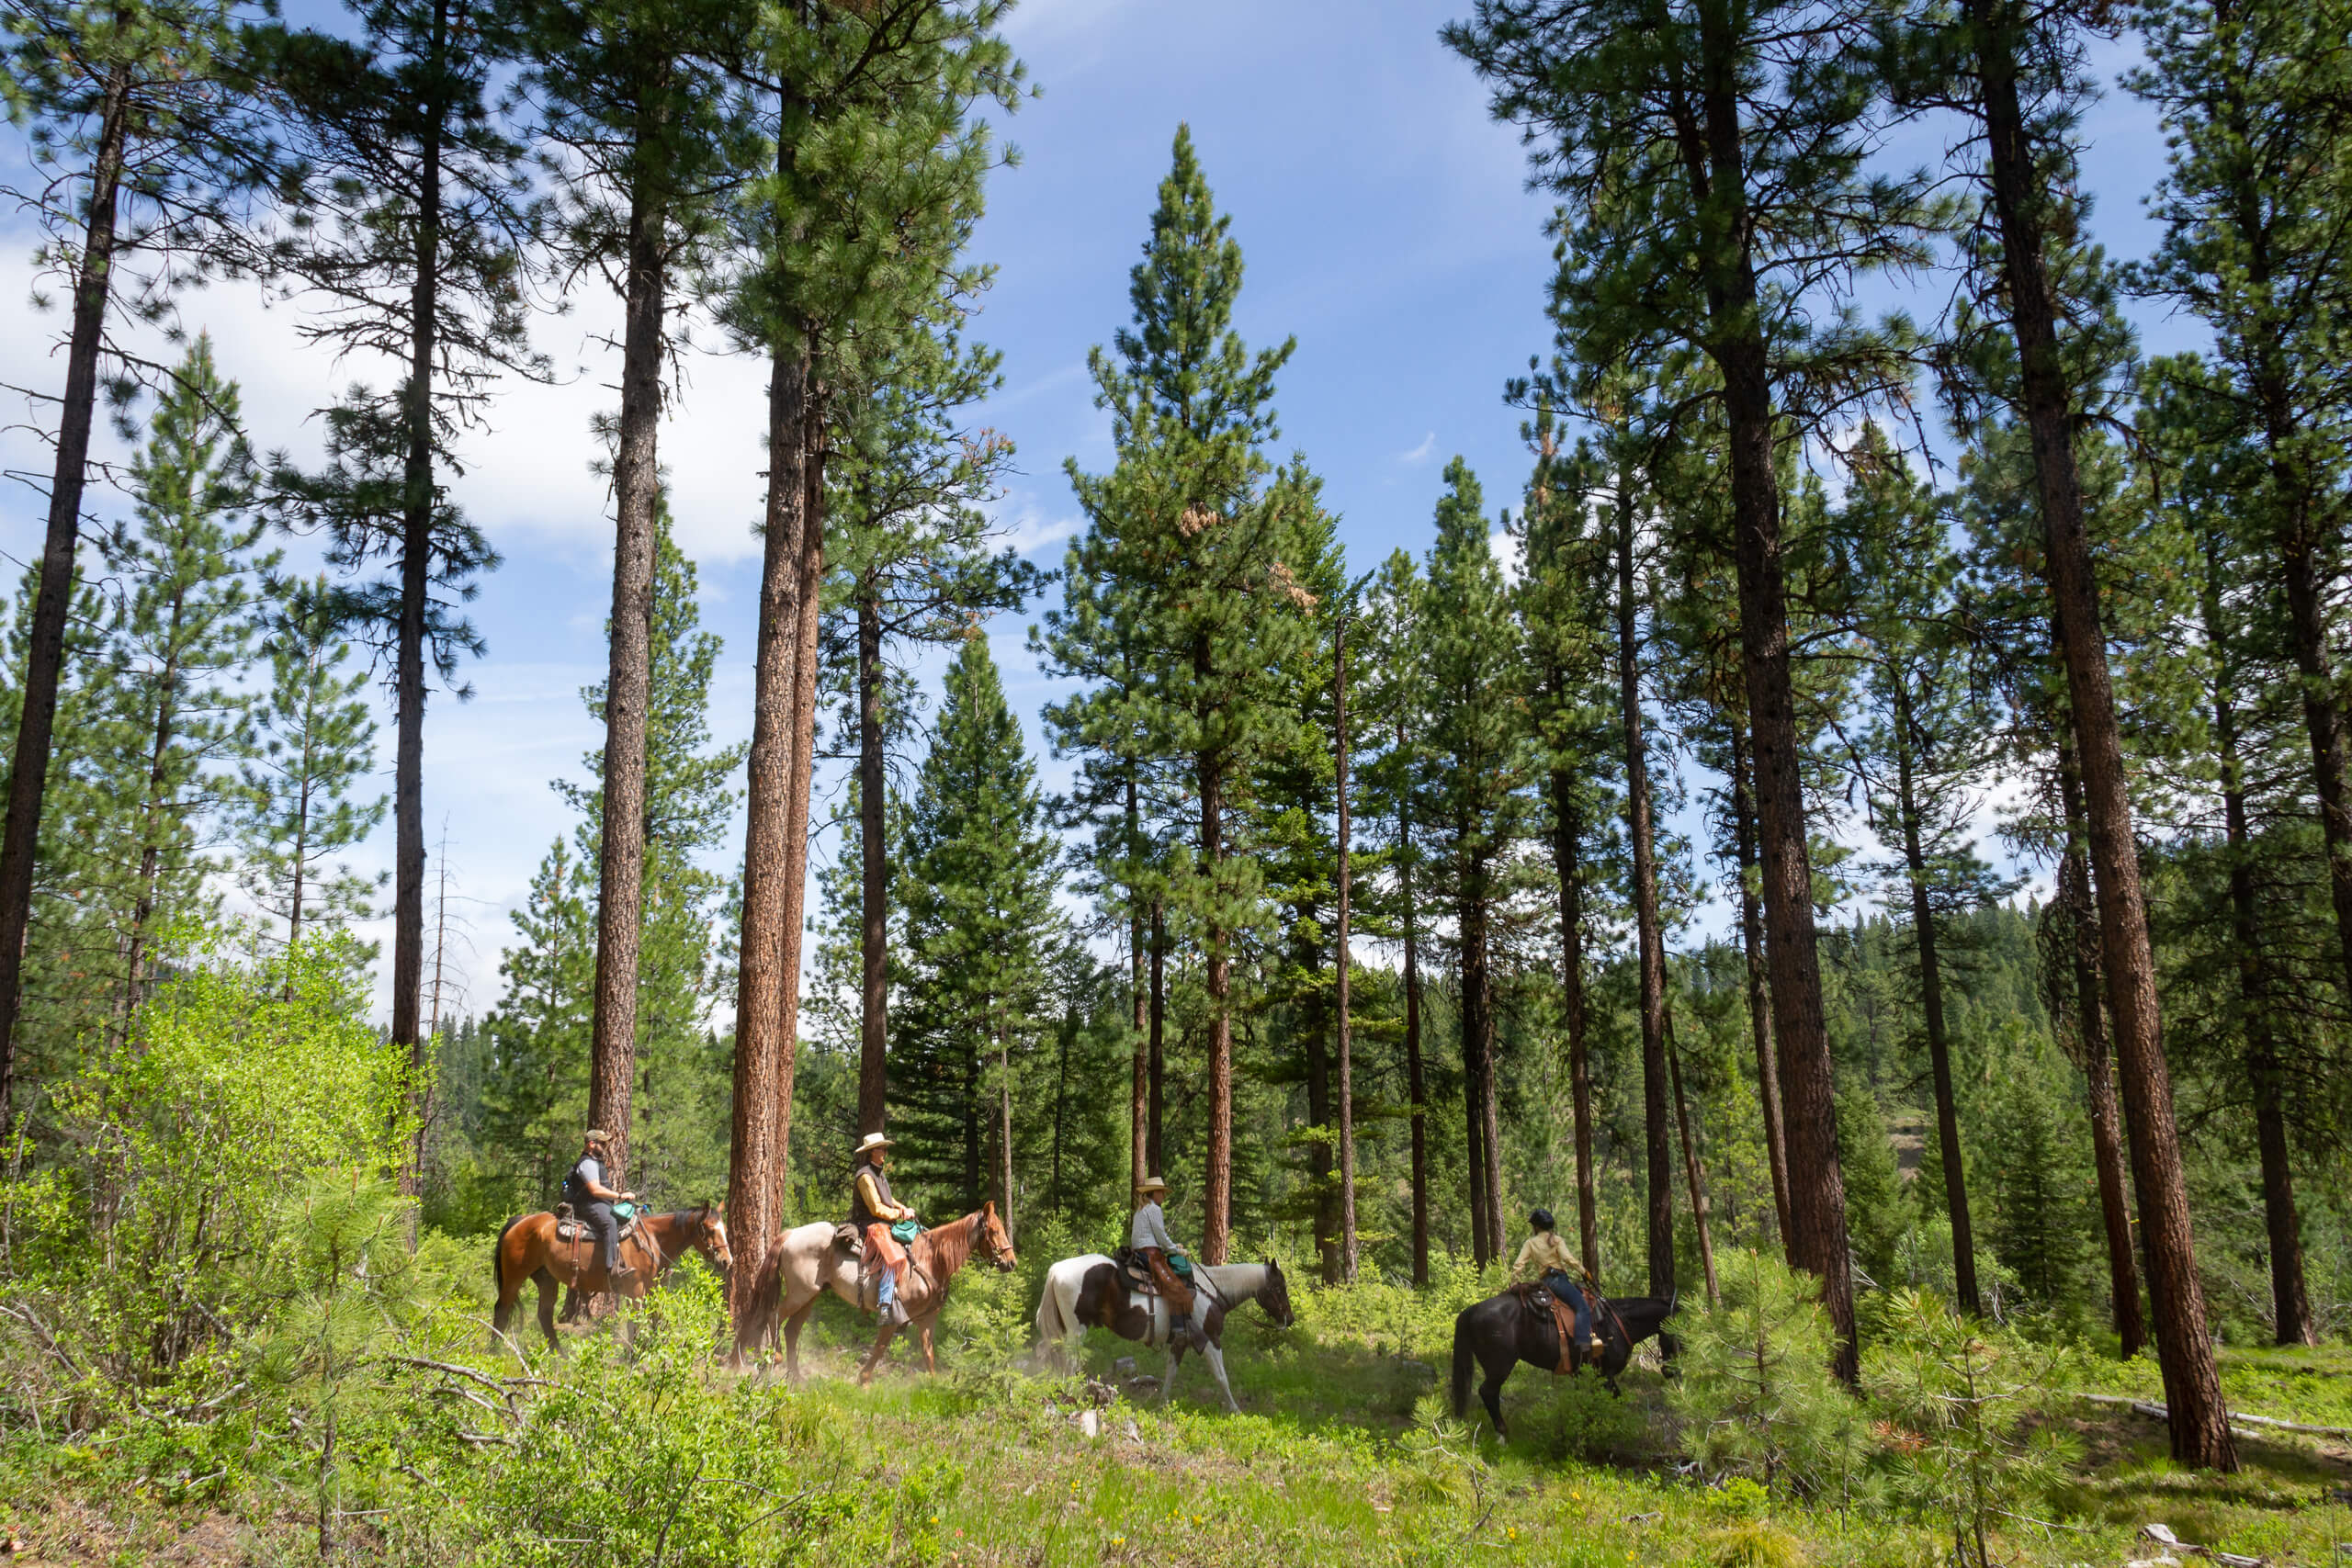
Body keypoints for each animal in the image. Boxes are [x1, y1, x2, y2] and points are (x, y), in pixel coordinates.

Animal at [486, 1203, 724, 1354]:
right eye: (709, 1229)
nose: (726, 1260)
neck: (652, 1239)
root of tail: (521, 1220)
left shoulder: (651, 1290)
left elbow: (655, 1319)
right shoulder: (635, 1290)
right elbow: (635, 1323)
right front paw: (633, 1357)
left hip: (547, 1278)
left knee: (544, 1314)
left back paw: (559, 1354)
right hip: (514, 1276)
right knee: (502, 1309)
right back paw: (494, 1350)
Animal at [733, 1222, 865, 1382]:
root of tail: (791, 1233)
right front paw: (864, 1379)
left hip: (809, 1296)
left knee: (788, 1329)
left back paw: (793, 1376)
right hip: (800, 1294)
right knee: (775, 1317)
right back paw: (776, 1358)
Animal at [855, 1203, 1021, 1382]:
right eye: (995, 1231)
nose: (1012, 1262)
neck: (930, 1261)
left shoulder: (927, 1317)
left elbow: (928, 1354)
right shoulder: (895, 1318)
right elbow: (879, 1348)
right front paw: (863, 1381)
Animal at [1035, 1259, 1298, 1419]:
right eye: (1279, 1287)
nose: (1290, 1318)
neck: (1211, 1293)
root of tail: (1057, 1270)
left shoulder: (1181, 1342)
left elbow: (1170, 1373)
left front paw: (1161, 1405)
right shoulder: (1211, 1341)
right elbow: (1222, 1377)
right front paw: (1235, 1409)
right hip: (1076, 1331)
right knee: (1070, 1363)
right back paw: (1072, 1395)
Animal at [1439, 1279, 1683, 1438]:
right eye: (1680, 1335)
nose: (1671, 1372)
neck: (1618, 1322)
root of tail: (1471, 1310)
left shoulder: (1589, 1375)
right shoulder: (1606, 1375)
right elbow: (1608, 1401)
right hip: (1500, 1366)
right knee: (1488, 1392)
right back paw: (1503, 1434)